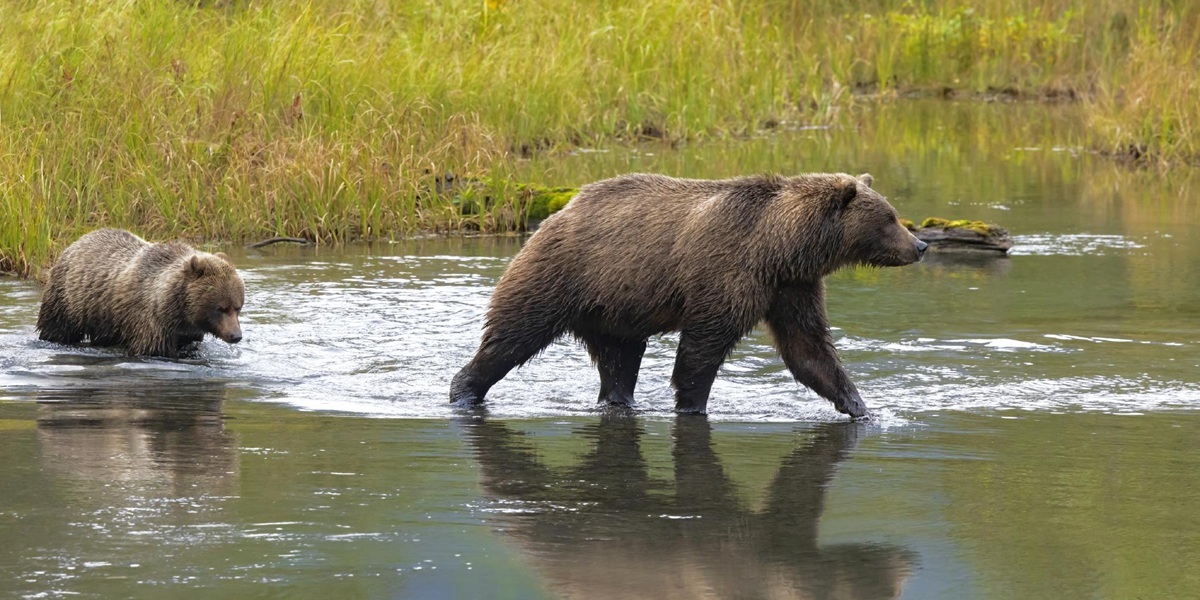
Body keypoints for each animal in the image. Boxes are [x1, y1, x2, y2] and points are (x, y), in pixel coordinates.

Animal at [36, 229, 245, 357]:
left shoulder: (188, 333)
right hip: (68, 299)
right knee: (58, 329)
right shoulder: (150, 323)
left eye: (237, 307)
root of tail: (78, 240)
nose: (236, 335)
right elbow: (152, 350)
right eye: (221, 308)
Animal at [449, 172, 927, 419]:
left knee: (620, 360)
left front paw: (861, 406)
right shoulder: (727, 272)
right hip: (562, 275)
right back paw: (464, 390)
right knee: (512, 336)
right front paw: (693, 405)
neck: (781, 247)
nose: (920, 245)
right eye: (889, 217)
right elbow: (702, 349)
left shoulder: (792, 288)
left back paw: (620, 401)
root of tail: (556, 214)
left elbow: (807, 348)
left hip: (615, 310)